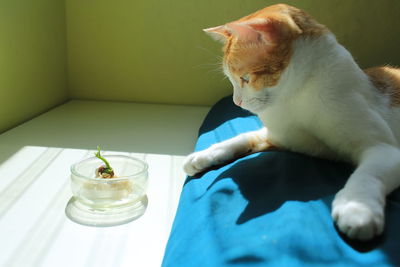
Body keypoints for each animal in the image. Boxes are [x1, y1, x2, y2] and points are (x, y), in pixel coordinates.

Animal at [183, 3, 400, 243]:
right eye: (231, 80)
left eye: (245, 79)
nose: (236, 101)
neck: (296, 97)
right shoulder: (278, 137)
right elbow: (241, 138)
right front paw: (203, 155)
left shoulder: (384, 149)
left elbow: (367, 174)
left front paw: (357, 208)